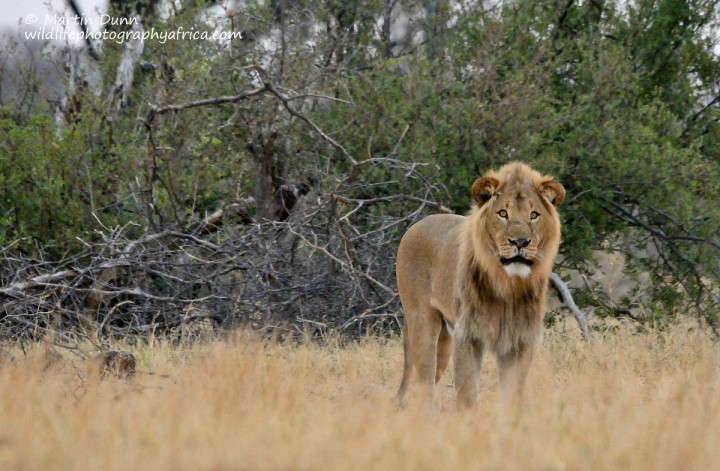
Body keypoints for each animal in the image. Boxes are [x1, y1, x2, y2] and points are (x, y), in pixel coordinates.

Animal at [396, 161, 564, 410]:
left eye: (534, 215)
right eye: (503, 213)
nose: (520, 242)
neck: (508, 285)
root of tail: (418, 223)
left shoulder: (521, 340)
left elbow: (513, 395)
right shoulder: (468, 335)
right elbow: (467, 394)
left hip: (445, 341)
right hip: (422, 322)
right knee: (423, 383)